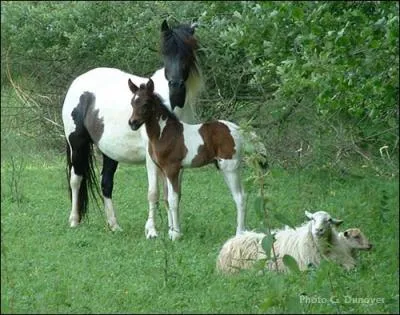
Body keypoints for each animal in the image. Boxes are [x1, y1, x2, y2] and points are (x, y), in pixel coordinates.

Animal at [62, 19, 203, 237]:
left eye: (188, 52)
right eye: (165, 52)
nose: (176, 86)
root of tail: (77, 83)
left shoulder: (176, 159)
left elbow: (172, 194)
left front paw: (173, 231)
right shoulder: (151, 158)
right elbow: (153, 193)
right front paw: (152, 231)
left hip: (109, 152)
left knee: (106, 184)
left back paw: (114, 225)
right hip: (77, 145)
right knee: (76, 180)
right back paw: (74, 221)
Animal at [128, 79, 247, 242]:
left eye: (146, 103)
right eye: (132, 102)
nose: (132, 123)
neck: (164, 133)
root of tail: (236, 130)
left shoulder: (172, 169)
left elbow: (173, 199)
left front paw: (176, 234)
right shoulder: (163, 170)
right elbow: (167, 199)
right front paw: (171, 231)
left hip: (230, 168)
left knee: (240, 198)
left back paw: (240, 234)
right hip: (226, 168)